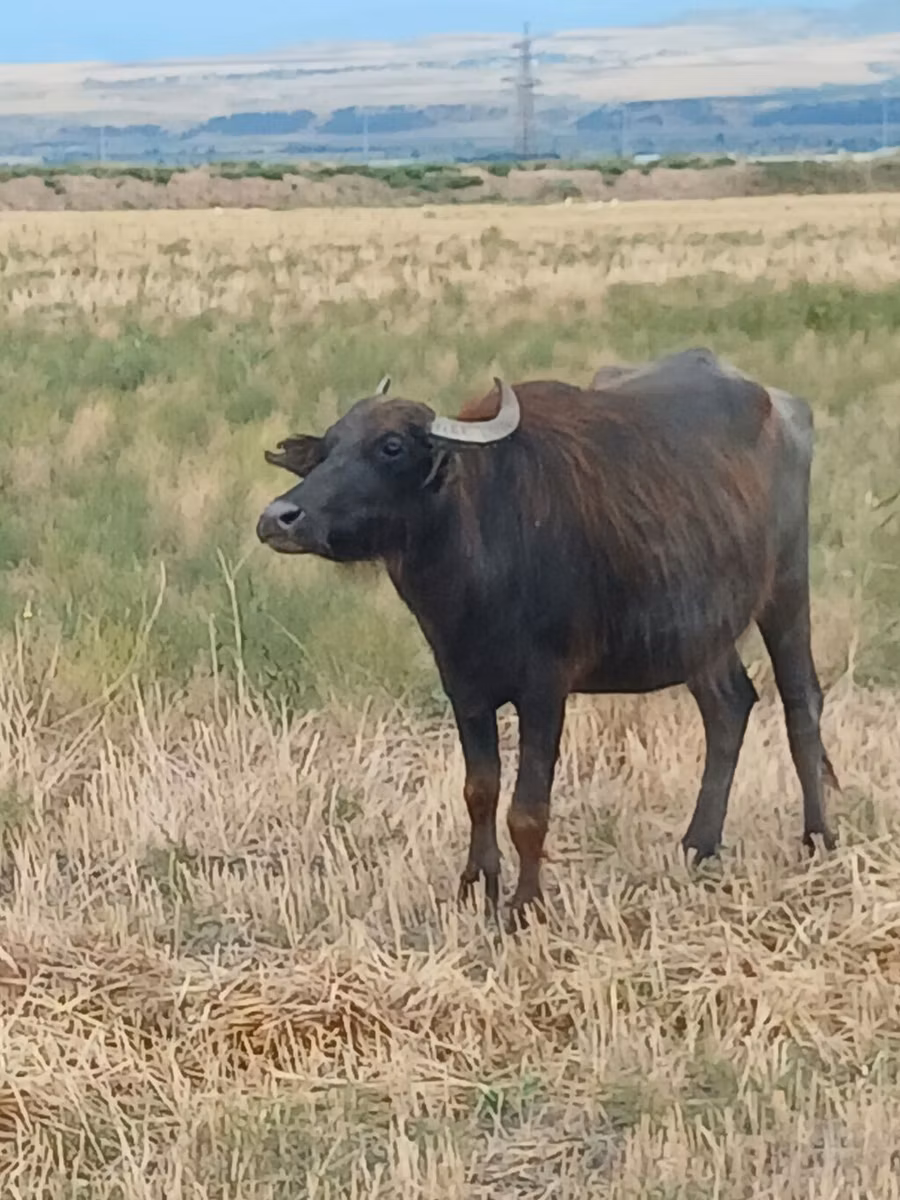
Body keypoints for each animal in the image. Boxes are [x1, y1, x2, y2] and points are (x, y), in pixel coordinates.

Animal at [256, 348, 836, 926]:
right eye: (329, 446)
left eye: (391, 446)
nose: (278, 518)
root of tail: (783, 407)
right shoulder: (463, 688)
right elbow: (480, 791)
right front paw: (477, 885)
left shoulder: (545, 691)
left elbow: (528, 810)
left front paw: (525, 903)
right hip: (702, 631)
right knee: (728, 707)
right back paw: (699, 844)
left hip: (786, 589)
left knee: (800, 702)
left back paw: (818, 837)